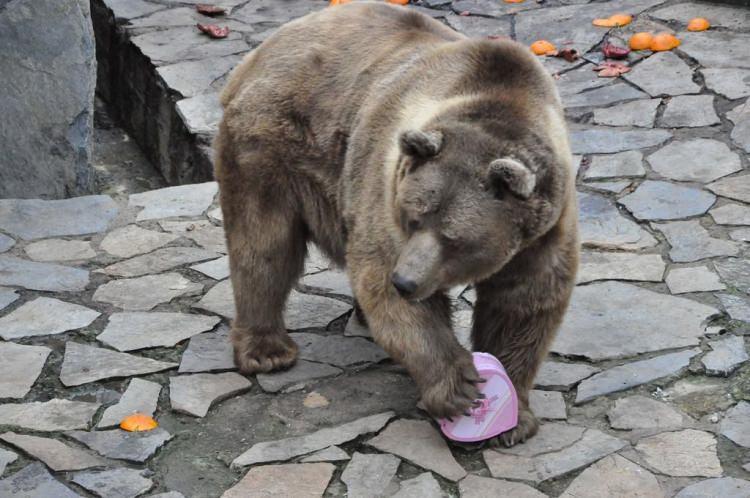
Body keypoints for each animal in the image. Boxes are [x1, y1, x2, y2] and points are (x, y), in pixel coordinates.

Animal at [214, 0, 580, 448]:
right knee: (265, 244)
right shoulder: (386, 190)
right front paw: (458, 386)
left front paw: (514, 419)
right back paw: (267, 350)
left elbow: (524, 304)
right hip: (272, 143)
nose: (405, 282)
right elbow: (387, 290)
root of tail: (258, 54)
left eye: (455, 238)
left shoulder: (543, 230)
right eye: (413, 218)